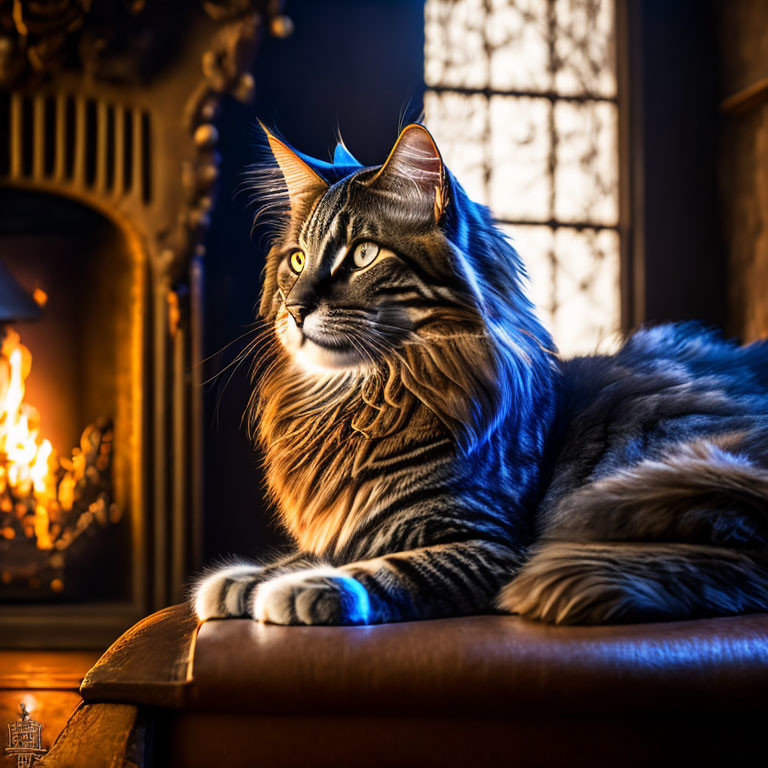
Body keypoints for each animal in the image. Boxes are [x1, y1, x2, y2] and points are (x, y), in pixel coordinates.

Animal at [194, 120, 768, 624]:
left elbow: (392, 570)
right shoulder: (347, 526)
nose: (295, 308)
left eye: (362, 255)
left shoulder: (487, 542)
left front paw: (306, 588)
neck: (365, 399)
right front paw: (242, 579)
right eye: (296, 261)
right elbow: (304, 554)